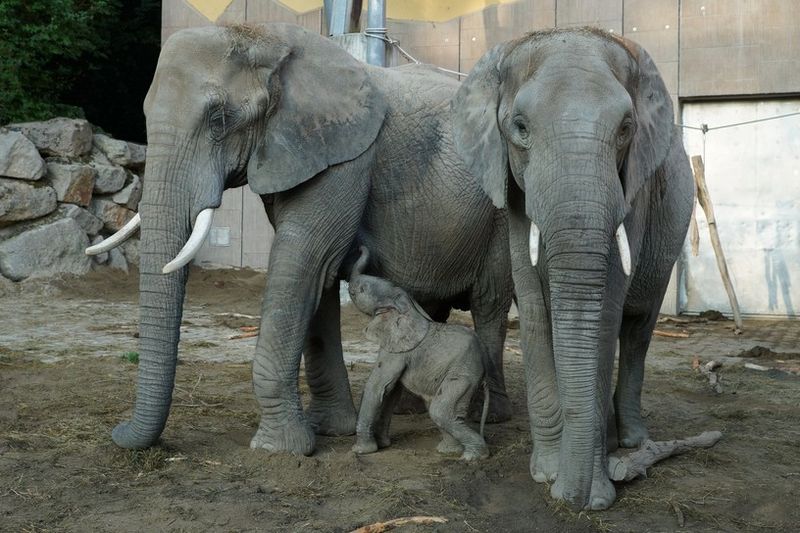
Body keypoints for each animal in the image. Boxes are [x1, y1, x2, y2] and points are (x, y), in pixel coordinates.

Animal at [348, 247, 490, 461]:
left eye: (362, 290)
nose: (360, 247)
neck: (406, 305)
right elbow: (391, 390)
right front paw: (383, 445)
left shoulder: (397, 349)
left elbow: (378, 386)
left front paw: (361, 450)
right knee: (450, 412)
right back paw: (450, 451)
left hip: (464, 372)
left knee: (439, 411)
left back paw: (472, 457)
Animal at [451, 28, 694, 509]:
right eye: (520, 127)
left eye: (625, 129)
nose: (575, 501)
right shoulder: (515, 195)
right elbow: (532, 305)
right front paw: (546, 474)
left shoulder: (632, 191)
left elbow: (605, 312)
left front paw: (594, 492)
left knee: (637, 330)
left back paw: (632, 441)